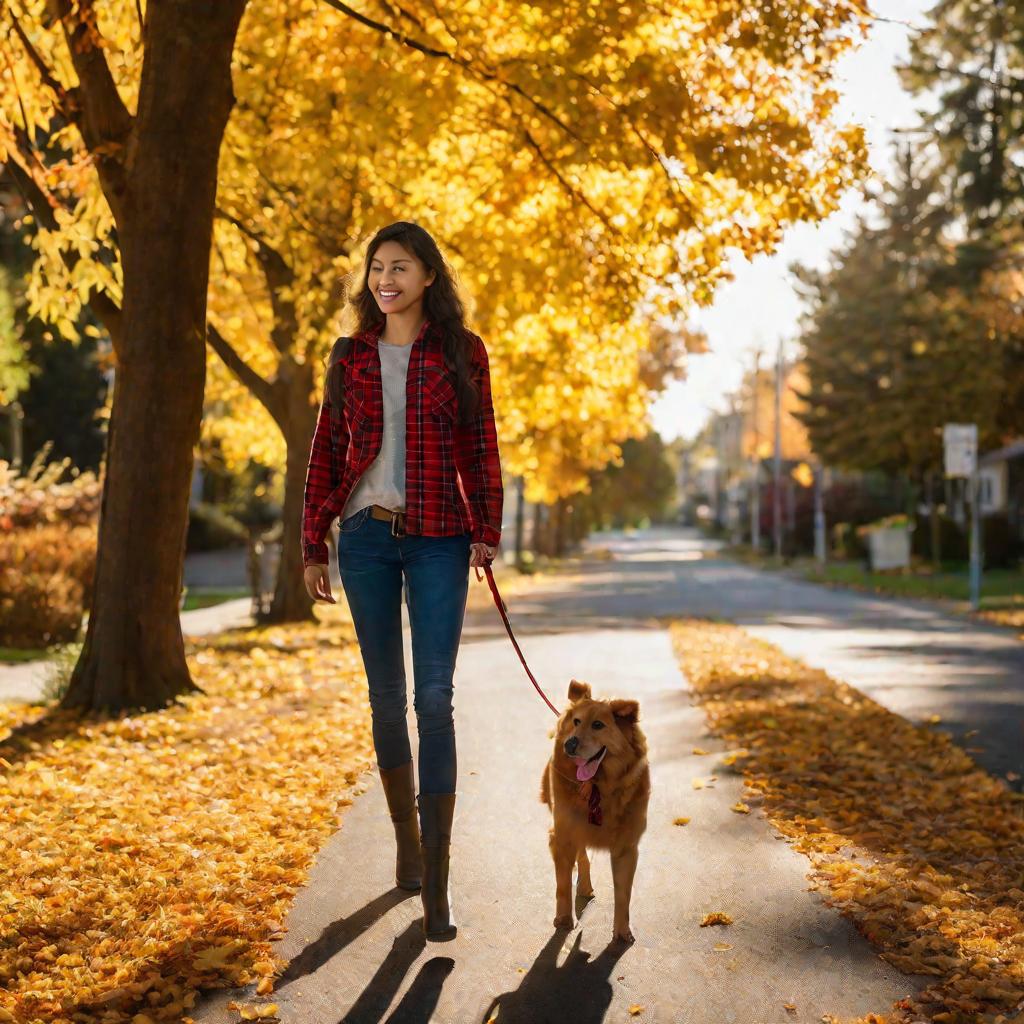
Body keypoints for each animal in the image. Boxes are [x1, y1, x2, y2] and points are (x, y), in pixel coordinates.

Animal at [540, 679, 651, 942]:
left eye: (598, 725)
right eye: (576, 721)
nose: (569, 744)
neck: (599, 786)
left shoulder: (626, 847)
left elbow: (623, 895)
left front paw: (622, 932)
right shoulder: (563, 836)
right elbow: (562, 885)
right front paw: (564, 920)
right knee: (582, 857)